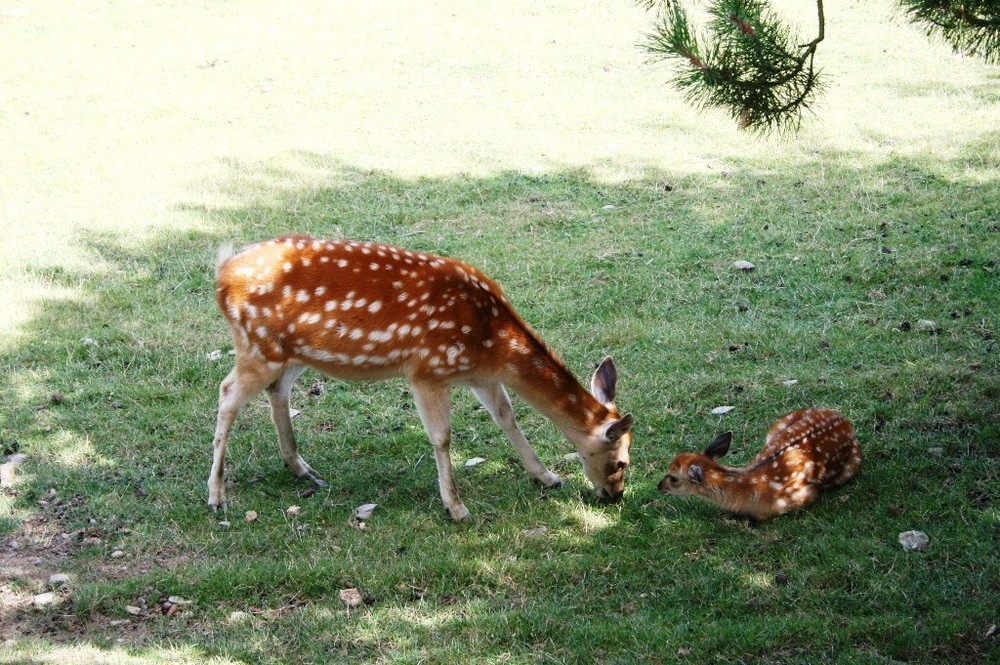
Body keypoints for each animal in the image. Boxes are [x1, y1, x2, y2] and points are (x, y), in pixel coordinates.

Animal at [209, 236, 632, 520]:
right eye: (621, 461)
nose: (615, 496)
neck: (493, 343)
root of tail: (222, 273)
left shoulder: (481, 376)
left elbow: (506, 417)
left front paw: (547, 476)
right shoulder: (428, 371)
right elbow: (442, 437)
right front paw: (456, 508)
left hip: (291, 352)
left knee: (276, 390)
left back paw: (301, 467)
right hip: (257, 345)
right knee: (227, 392)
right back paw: (216, 495)